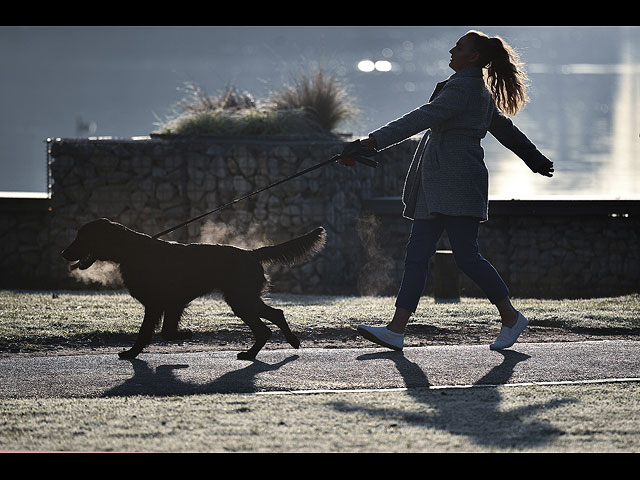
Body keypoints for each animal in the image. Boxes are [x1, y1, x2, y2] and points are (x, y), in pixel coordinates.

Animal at [61, 218, 324, 360]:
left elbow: (154, 332)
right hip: (245, 299)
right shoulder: (169, 304)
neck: (130, 251)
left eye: (82, 237)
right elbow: (161, 332)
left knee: (266, 327)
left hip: (241, 300)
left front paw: (183, 335)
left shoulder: (161, 303)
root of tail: (251, 253)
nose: (63, 253)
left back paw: (253, 353)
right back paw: (288, 342)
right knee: (274, 316)